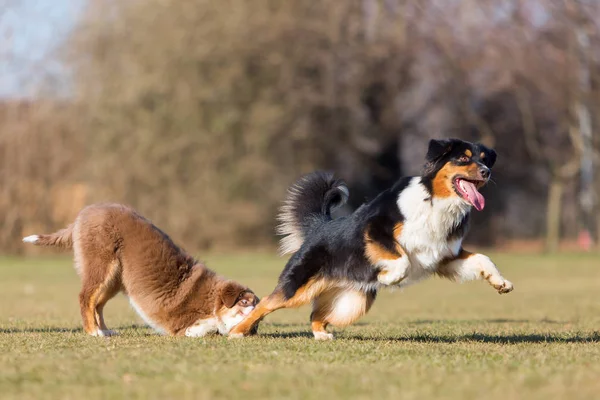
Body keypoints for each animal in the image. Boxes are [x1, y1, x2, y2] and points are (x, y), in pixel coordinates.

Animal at [22, 203, 258, 338]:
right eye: (245, 302)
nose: (254, 326)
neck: (213, 299)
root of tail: (83, 213)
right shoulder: (179, 323)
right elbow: (203, 327)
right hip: (102, 265)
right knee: (86, 298)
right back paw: (93, 331)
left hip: (116, 278)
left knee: (97, 304)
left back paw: (105, 330)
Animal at [232, 138, 512, 340]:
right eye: (463, 158)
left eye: (484, 160)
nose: (486, 172)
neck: (435, 201)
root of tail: (319, 226)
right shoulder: (375, 230)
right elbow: (402, 259)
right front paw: (388, 277)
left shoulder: (444, 255)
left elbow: (482, 258)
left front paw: (501, 283)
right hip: (297, 286)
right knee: (266, 303)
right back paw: (237, 332)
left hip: (352, 303)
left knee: (316, 314)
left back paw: (321, 335)